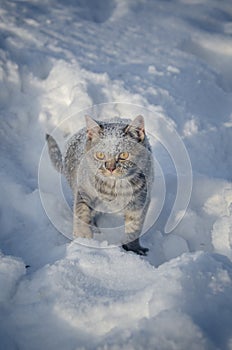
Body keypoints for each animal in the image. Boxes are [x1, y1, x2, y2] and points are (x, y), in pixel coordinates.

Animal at [46, 116, 153, 256]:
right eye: (100, 155)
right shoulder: (84, 191)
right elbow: (82, 212)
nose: (110, 168)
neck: (114, 186)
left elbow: (134, 228)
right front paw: (84, 238)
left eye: (124, 155)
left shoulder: (140, 201)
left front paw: (133, 248)